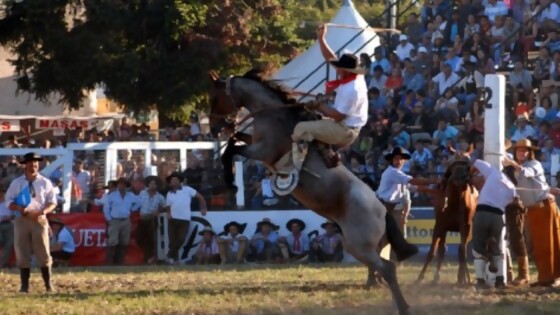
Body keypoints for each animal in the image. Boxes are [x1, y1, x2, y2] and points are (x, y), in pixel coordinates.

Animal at [209, 71, 416, 315]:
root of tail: (382, 210)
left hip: (359, 246)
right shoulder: (254, 142)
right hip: (367, 247)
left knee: (388, 268)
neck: (275, 115)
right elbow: (235, 140)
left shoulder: (263, 151)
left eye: (214, 99)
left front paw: (230, 182)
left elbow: (231, 149)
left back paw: (403, 307)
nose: (213, 130)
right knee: (384, 268)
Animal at [416, 153, 476, 286]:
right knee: (442, 250)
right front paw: (421, 277)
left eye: (467, 167)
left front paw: (461, 278)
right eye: (454, 167)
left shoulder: (465, 227)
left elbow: (462, 251)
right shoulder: (439, 226)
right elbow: (433, 251)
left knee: (460, 250)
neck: (454, 202)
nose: (464, 179)